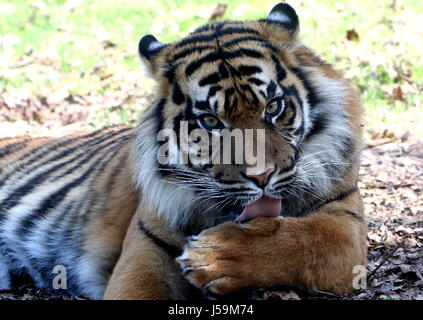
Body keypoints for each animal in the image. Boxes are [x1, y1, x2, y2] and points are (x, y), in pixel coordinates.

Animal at [0, 3, 368, 300]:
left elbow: (303, 239)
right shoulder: (144, 249)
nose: (262, 176)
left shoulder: (347, 224)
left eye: (274, 107)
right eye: (210, 121)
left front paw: (214, 256)